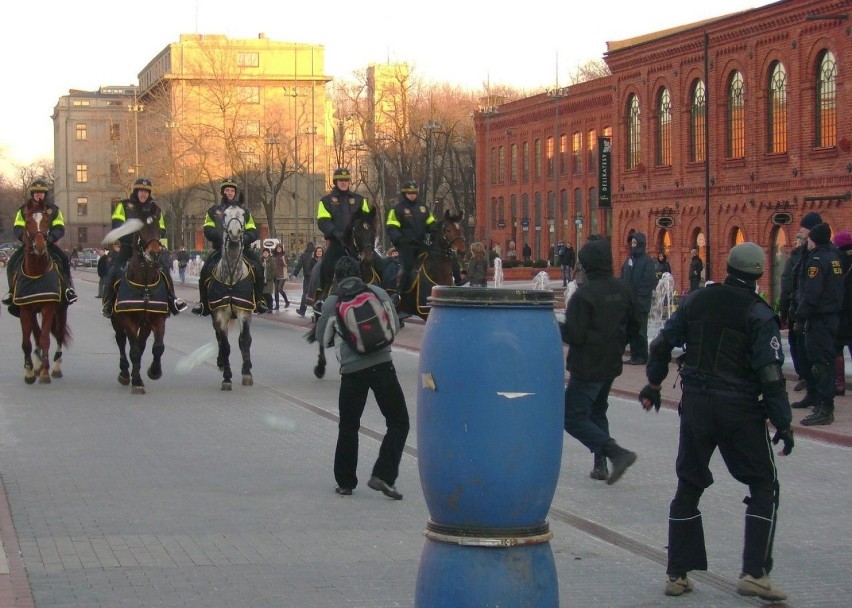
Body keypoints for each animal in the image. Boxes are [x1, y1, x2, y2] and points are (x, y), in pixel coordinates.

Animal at [15, 204, 70, 384]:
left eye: (46, 221)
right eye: (28, 222)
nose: (40, 246)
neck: (36, 273)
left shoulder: (48, 307)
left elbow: (45, 339)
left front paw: (45, 372)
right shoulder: (26, 309)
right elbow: (27, 342)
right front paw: (30, 372)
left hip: (61, 310)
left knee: (58, 334)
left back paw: (55, 367)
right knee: (36, 334)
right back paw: (38, 364)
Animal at [109, 218, 169, 394]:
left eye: (158, 228)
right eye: (141, 231)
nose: (155, 252)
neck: (145, 285)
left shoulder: (156, 320)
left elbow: (157, 347)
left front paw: (154, 371)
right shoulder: (128, 320)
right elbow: (134, 350)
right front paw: (136, 381)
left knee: (140, 344)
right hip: (116, 321)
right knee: (121, 341)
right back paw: (124, 373)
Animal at [206, 205, 255, 390]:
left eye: (243, 214)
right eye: (225, 214)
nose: (235, 232)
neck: (232, 278)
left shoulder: (244, 311)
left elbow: (245, 340)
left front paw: (247, 372)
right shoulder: (220, 314)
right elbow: (226, 345)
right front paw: (227, 377)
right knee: (220, 339)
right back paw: (221, 362)